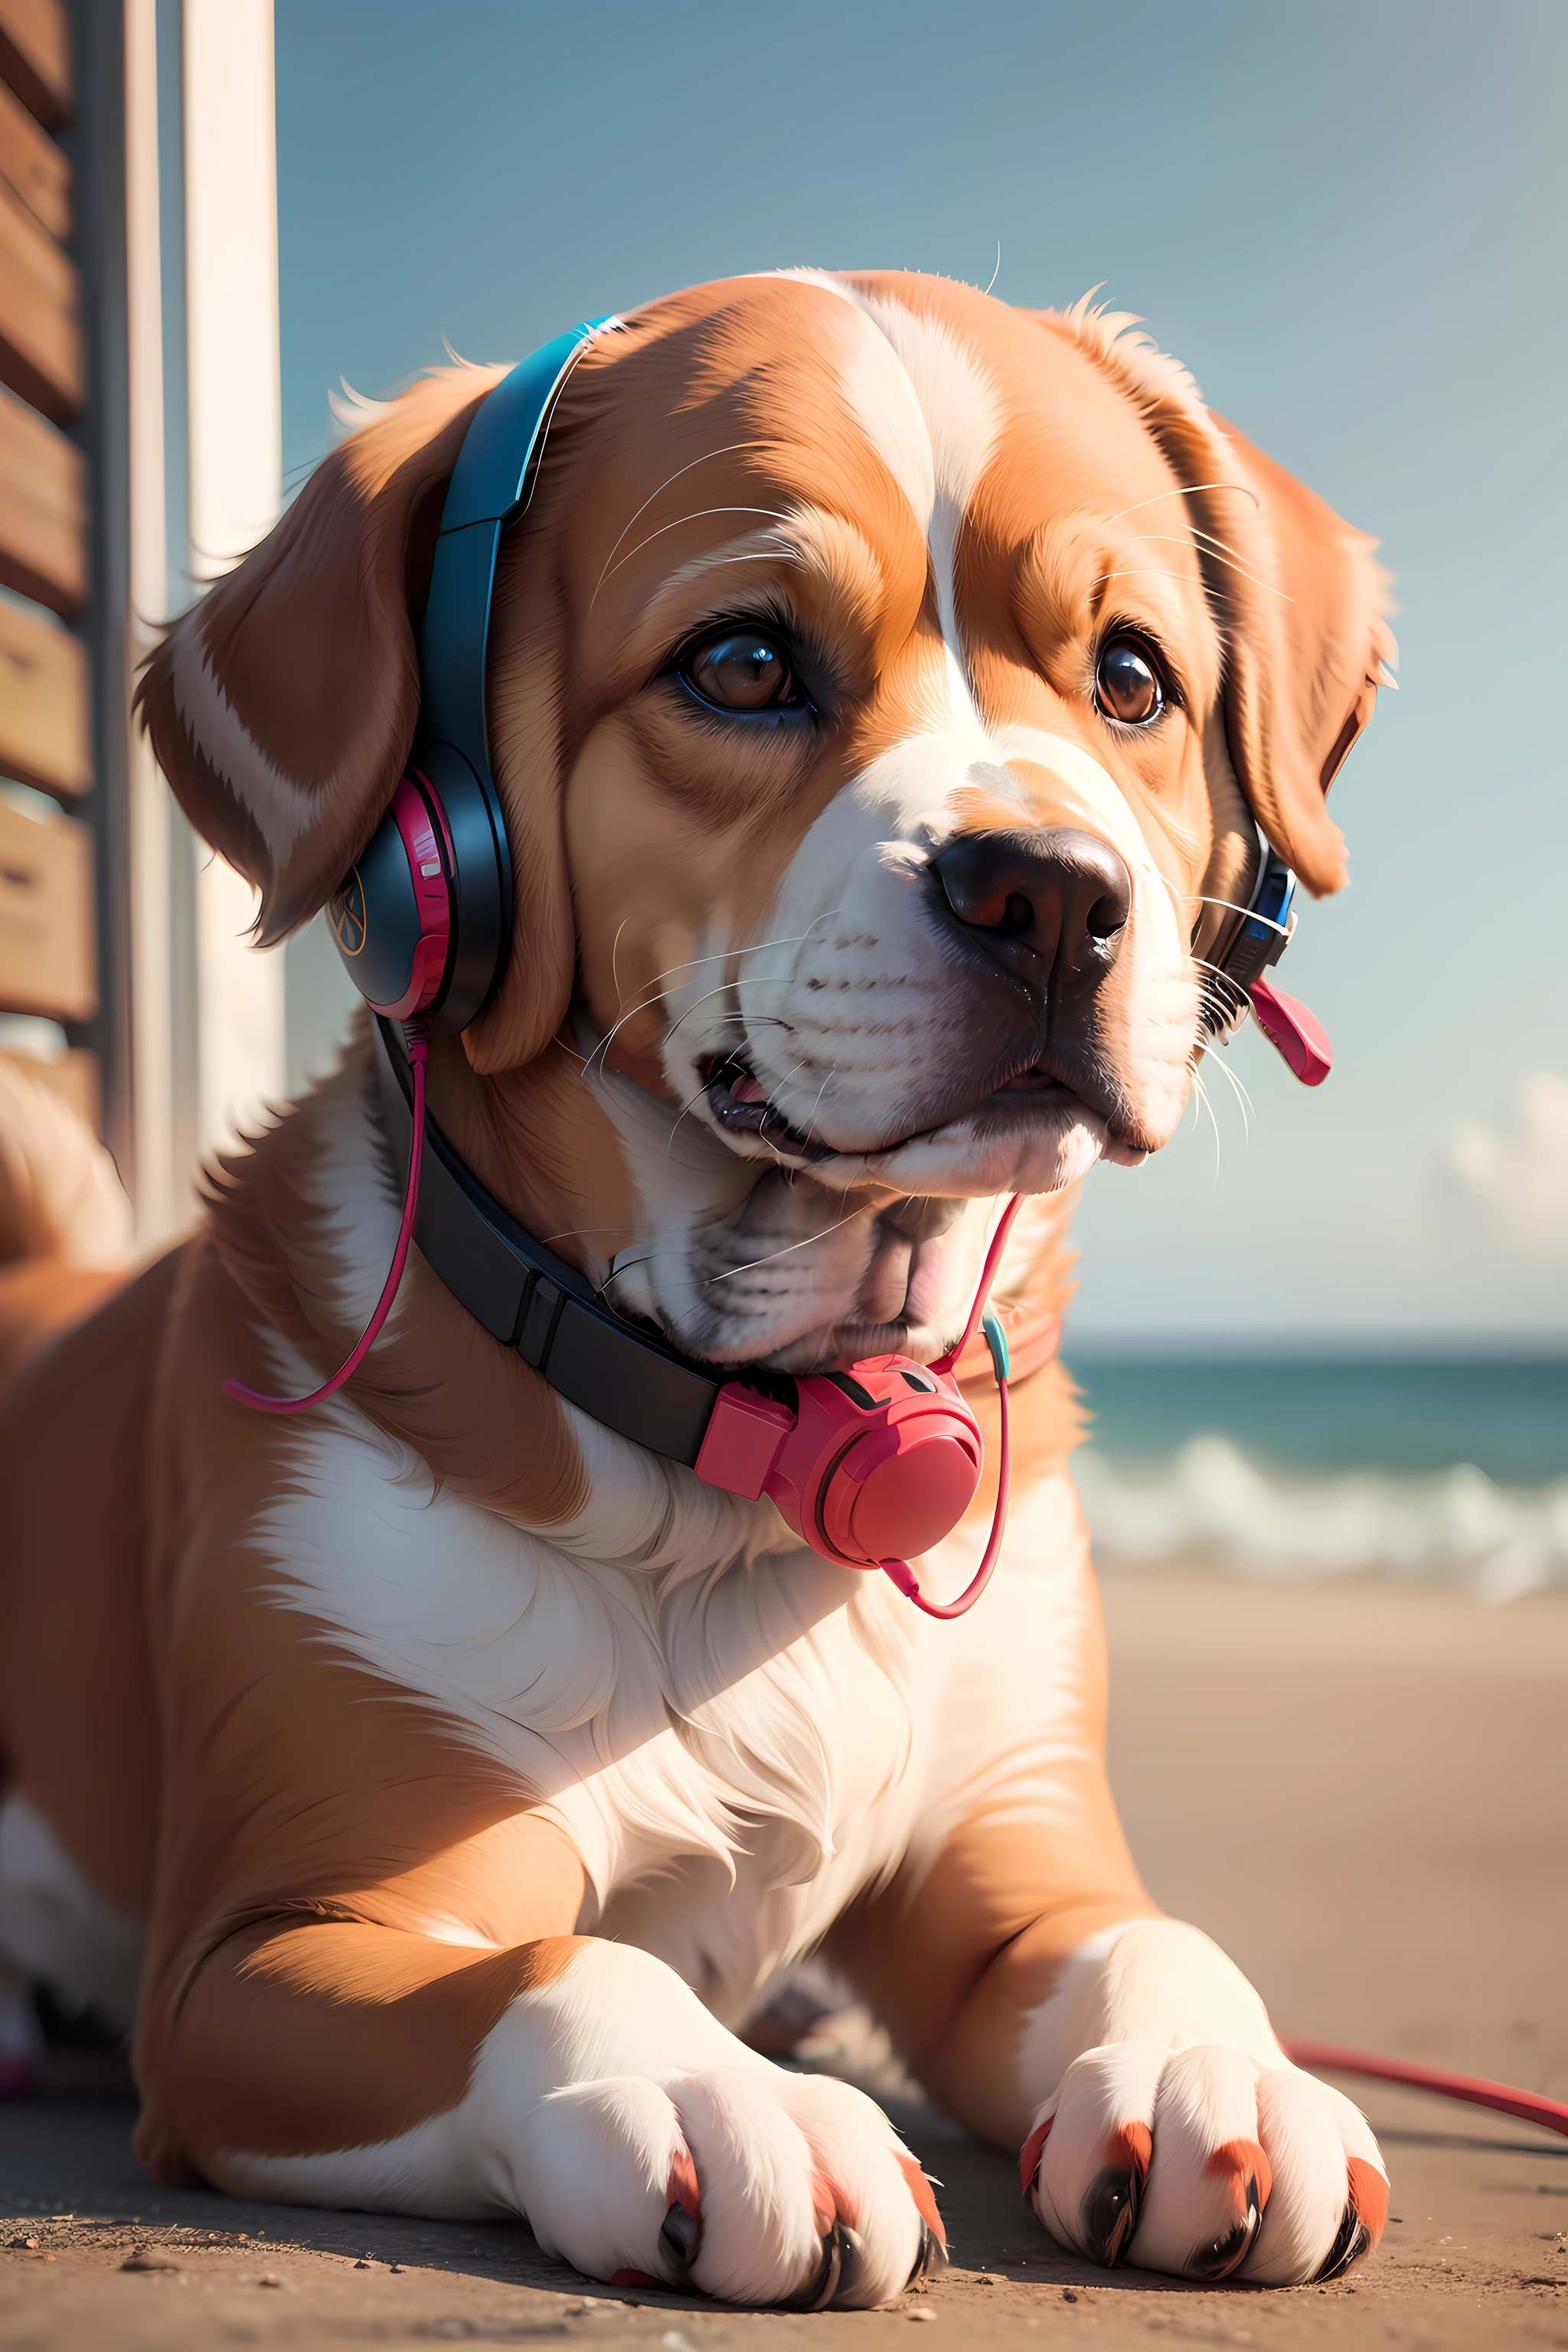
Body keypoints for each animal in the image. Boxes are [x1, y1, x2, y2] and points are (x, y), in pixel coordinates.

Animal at [0, 270, 1400, 2295]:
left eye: (1133, 678)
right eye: (742, 664)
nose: (1053, 894)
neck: (768, 1451)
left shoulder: (1010, 1858)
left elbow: (1150, 1932)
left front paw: (1214, 2061)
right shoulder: (276, 1937)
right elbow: (552, 1967)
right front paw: (717, 2097)